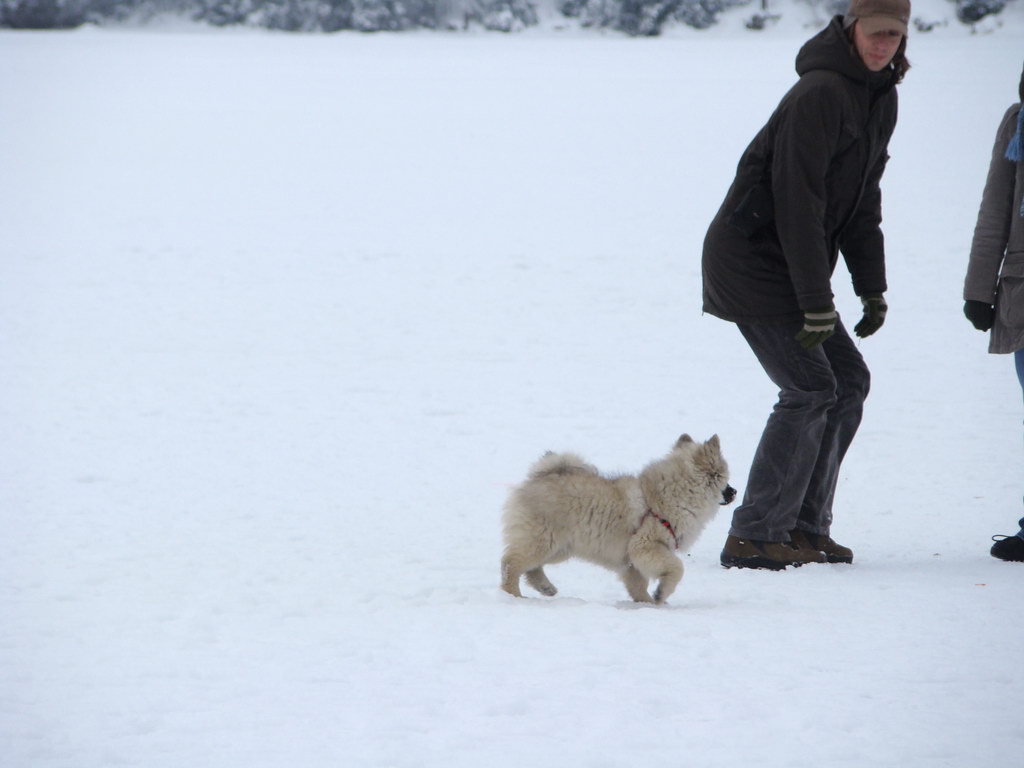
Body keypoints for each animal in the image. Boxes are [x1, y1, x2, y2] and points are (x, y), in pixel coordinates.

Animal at [499, 436, 733, 606]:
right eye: (725, 480)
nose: (735, 492)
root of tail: (538, 476)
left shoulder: (633, 561)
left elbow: (638, 586)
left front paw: (648, 603)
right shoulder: (644, 546)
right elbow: (677, 568)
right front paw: (660, 594)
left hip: (560, 547)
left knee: (531, 568)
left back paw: (546, 588)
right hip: (544, 540)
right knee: (511, 564)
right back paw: (513, 596)